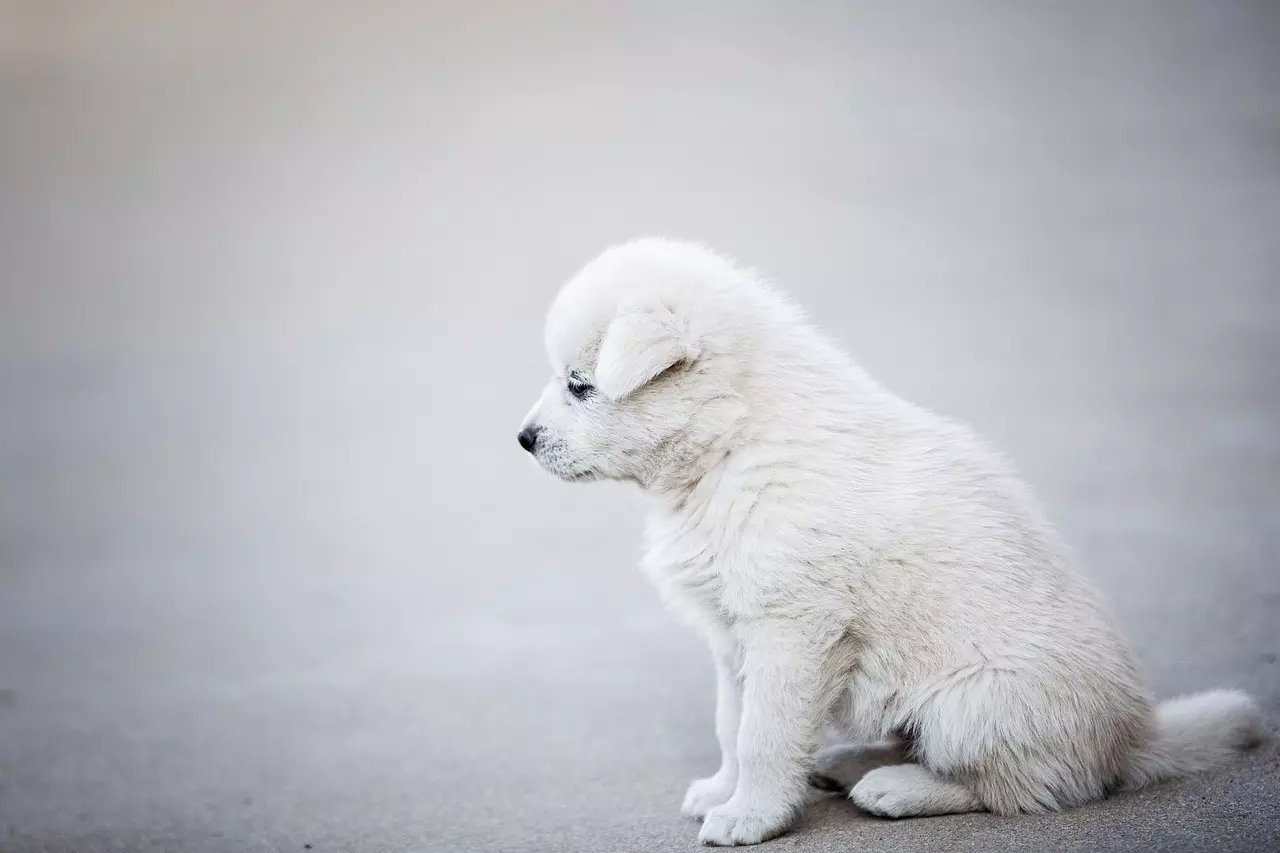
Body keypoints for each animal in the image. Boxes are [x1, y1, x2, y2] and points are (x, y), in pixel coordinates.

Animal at [514, 239, 1254, 845]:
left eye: (580, 385)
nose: (523, 438)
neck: (732, 443)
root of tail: (1132, 740)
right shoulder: (733, 633)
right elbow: (731, 721)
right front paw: (722, 791)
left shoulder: (790, 629)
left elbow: (763, 733)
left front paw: (749, 816)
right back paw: (850, 762)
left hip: (973, 703)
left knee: (1024, 788)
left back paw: (897, 788)